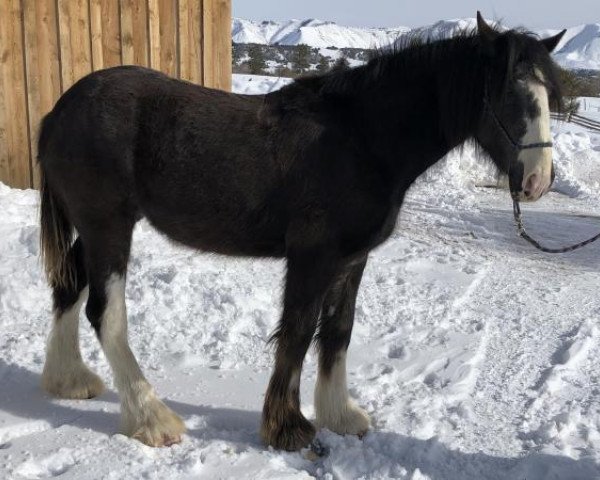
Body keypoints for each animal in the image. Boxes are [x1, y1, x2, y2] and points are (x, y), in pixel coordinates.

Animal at [38, 13, 568, 452]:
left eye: (549, 98)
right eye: (510, 95)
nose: (538, 181)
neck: (362, 139)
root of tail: (60, 110)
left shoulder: (352, 259)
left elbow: (337, 332)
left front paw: (340, 415)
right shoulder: (312, 257)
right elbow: (297, 332)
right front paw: (287, 428)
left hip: (94, 230)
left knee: (68, 287)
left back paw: (69, 381)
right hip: (109, 227)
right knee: (105, 313)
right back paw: (151, 418)